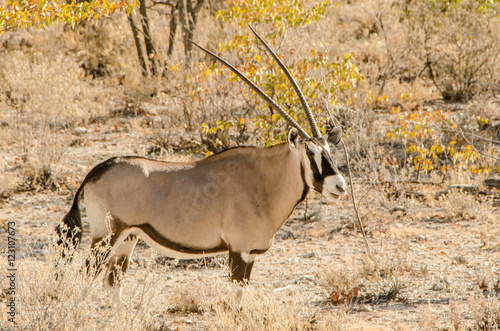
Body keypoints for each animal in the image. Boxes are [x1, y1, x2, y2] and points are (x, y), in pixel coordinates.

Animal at [57, 26, 348, 308]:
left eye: (329, 150)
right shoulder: (239, 250)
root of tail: (95, 172)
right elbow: (235, 302)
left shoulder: (250, 255)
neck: (264, 180)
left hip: (127, 238)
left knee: (113, 282)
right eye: (310, 152)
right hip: (105, 237)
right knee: (84, 280)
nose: (339, 185)